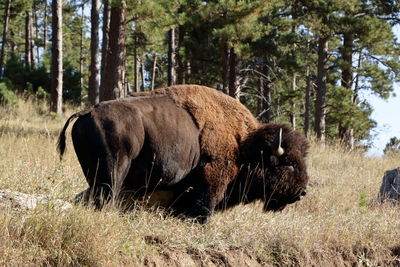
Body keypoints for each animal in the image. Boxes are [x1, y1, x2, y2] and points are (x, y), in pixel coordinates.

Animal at [58, 86, 310, 224]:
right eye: (288, 164)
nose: (302, 193)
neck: (244, 144)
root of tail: (87, 111)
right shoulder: (211, 179)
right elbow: (204, 206)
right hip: (113, 172)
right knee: (106, 196)